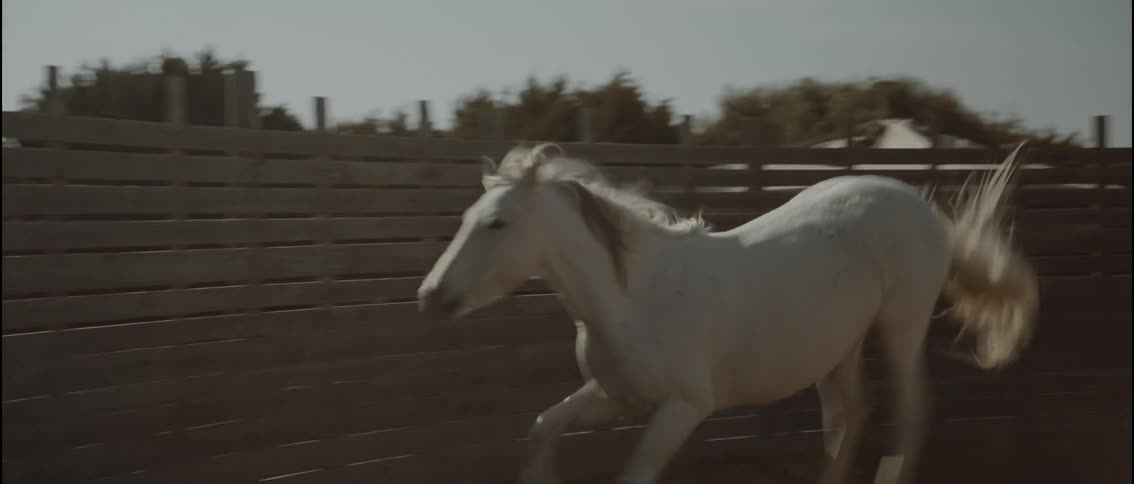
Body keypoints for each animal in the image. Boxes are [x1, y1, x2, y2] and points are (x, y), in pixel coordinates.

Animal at [417, 143, 1038, 484]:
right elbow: (545, 426)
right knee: (849, 419)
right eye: (469, 216)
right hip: (839, 346)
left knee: (908, 415)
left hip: (900, 328)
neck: (631, 298)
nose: (430, 295)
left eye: (496, 223)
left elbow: (631, 474)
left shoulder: (681, 409)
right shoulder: (616, 399)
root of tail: (922, 208)